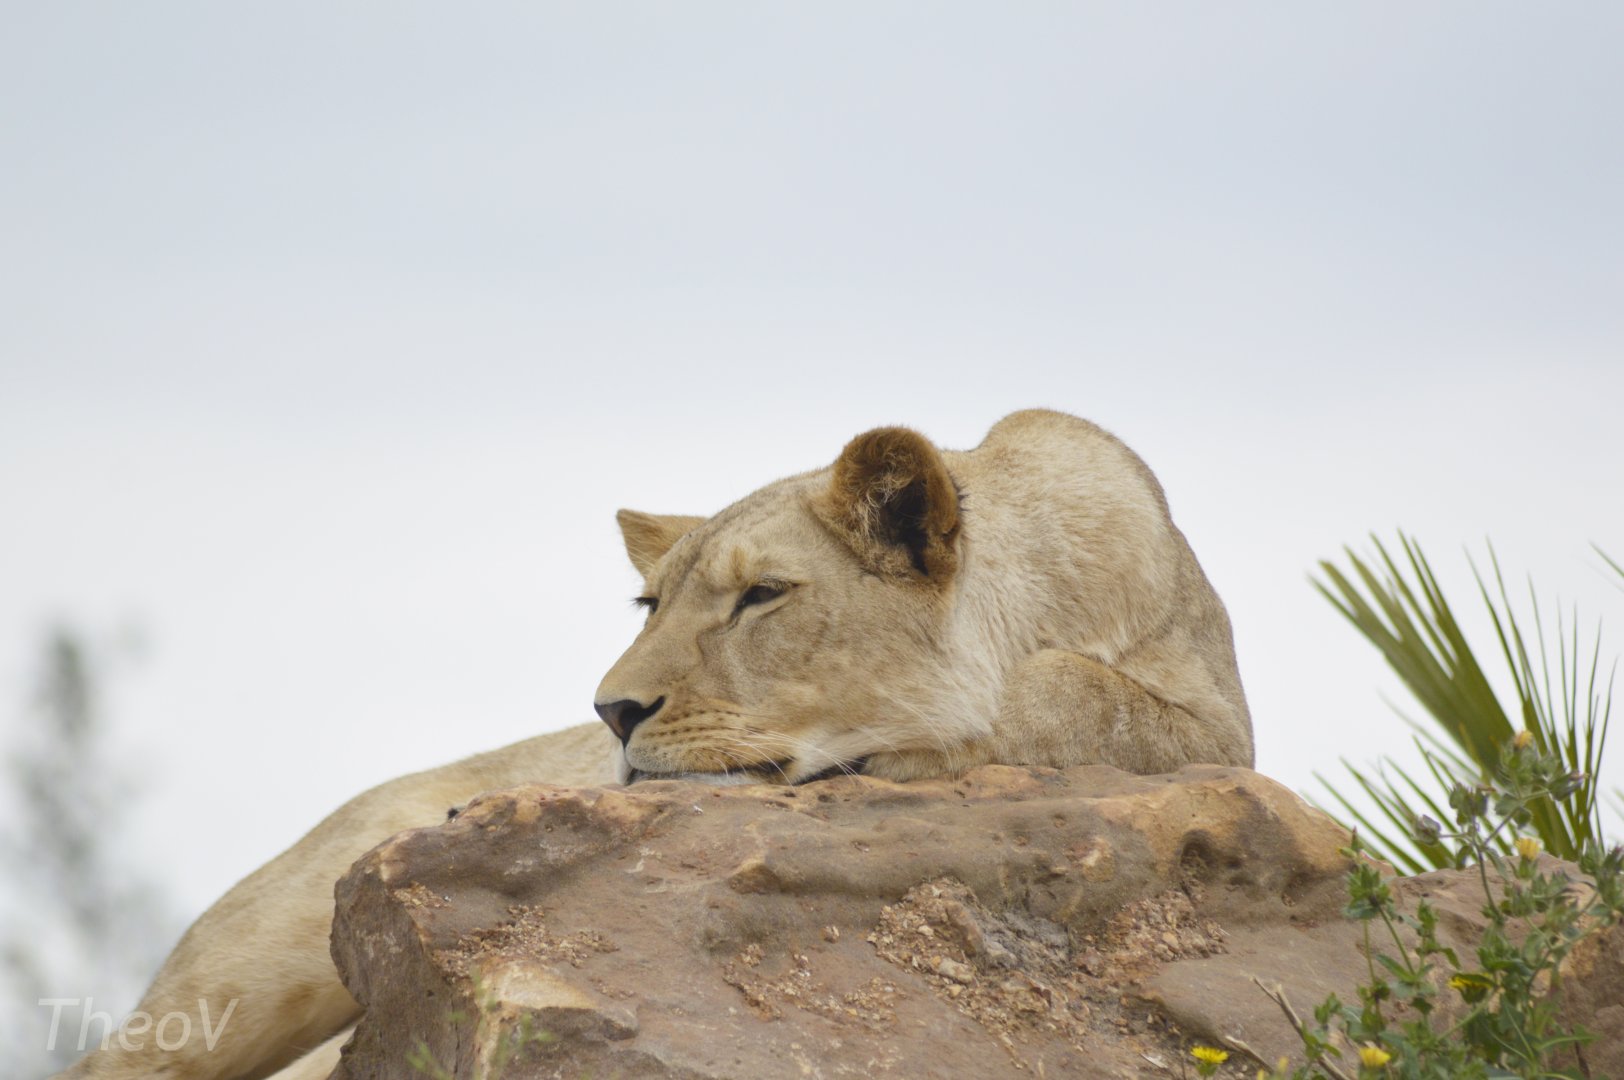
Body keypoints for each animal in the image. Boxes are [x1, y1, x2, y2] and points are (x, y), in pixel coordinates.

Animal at [58, 409, 1250, 1080]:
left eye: (761, 597)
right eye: (648, 603)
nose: (610, 715)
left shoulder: (1222, 729)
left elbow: (1068, 689)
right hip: (241, 977)